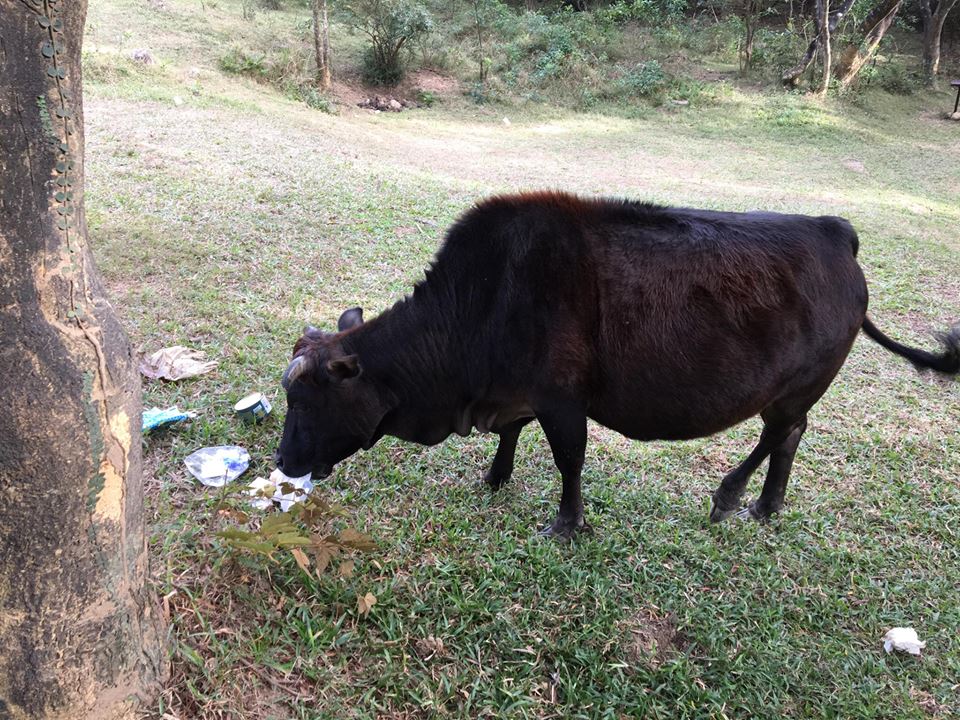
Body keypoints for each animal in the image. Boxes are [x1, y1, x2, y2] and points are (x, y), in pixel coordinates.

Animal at [276, 191, 960, 536]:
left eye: (308, 399)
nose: (283, 462)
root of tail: (835, 231)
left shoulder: (562, 399)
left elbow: (569, 460)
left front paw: (567, 523)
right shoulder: (519, 392)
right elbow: (511, 435)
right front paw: (495, 478)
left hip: (797, 387)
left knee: (780, 433)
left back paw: (732, 495)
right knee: (789, 439)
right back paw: (767, 505)